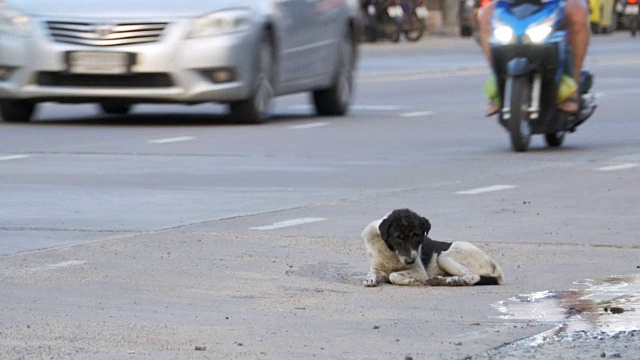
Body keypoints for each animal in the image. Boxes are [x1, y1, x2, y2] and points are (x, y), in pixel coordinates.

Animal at [360, 208, 504, 286]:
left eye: (417, 235)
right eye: (398, 237)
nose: (410, 261)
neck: (391, 253)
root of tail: (493, 263)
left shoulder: (419, 271)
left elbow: (393, 275)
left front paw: (412, 281)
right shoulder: (377, 268)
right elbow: (372, 274)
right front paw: (369, 279)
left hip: (444, 257)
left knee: (474, 276)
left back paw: (455, 280)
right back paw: (441, 280)